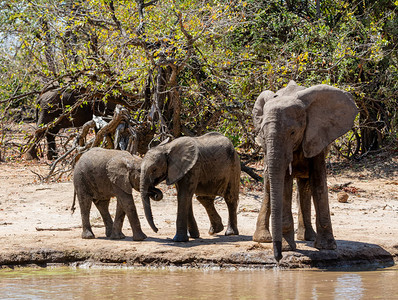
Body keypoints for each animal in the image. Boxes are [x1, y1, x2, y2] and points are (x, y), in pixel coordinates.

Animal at [253, 81, 360, 262]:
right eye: (263, 134)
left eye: (293, 132)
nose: (278, 257)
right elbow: (284, 185)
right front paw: (288, 248)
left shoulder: (317, 135)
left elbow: (318, 183)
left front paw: (326, 247)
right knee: (269, 188)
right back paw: (263, 238)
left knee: (305, 186)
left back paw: (307, 237)